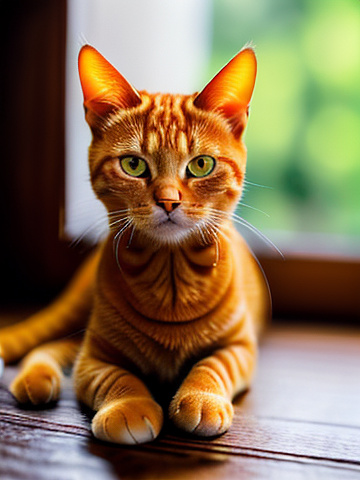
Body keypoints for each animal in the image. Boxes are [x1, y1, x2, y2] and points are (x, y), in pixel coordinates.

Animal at [0, 45, 270, 442]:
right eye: (133, 165)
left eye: (201, 165)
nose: (168, 201)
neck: (171, 280)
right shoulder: (94, 358)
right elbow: (117, 378)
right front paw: (130, 407)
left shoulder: (240, 347)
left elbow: (213, 365)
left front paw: (200, 397)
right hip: (75, 311)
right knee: (46, 340)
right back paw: (35, 377)